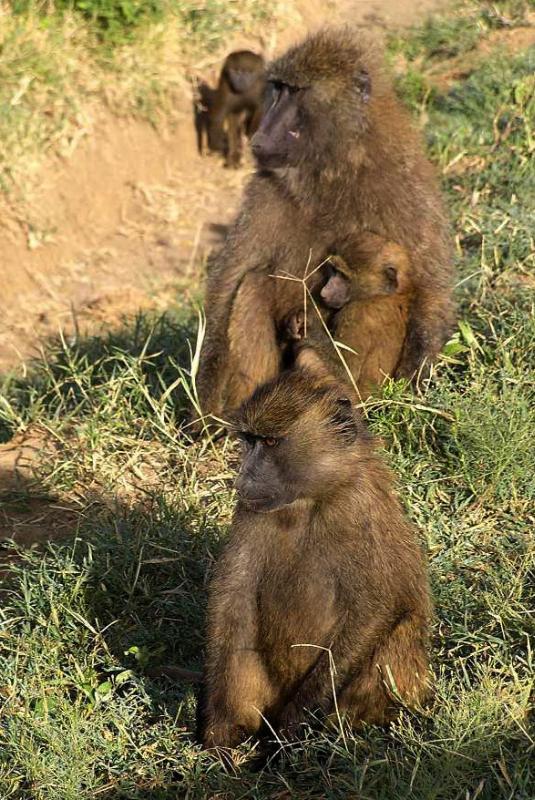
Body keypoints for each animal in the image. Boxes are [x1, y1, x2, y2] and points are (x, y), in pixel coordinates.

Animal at [194, 29, 455, 421]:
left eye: (296, 92)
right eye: (278, 88)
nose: (260, 136)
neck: (332, 169)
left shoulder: (406, 187)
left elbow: (431, 291)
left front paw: (410, 400)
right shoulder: (265, 191)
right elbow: (227, 286)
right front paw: (202, 414)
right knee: (252, 284)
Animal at [198, 367, 432, 753]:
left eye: (271, 443)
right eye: (249, 440)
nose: (242, 479)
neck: (313, 497)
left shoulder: (357, 510)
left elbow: (375, 607)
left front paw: (291, 729)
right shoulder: (250, 512)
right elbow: (234, 597)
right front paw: (219, 731)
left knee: (393, 637)